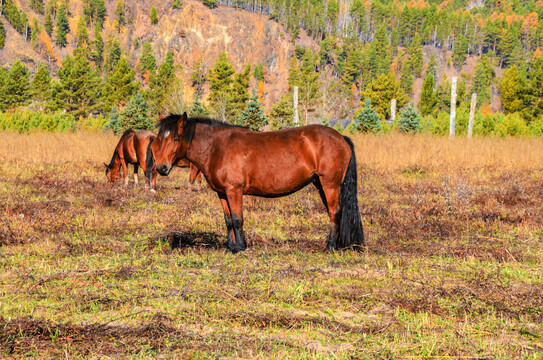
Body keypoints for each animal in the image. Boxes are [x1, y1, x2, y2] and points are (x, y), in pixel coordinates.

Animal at [152, 112, 366, 253]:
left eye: (176, 138)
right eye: (160, 139)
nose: (161, 167)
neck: (217, 148)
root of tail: (341, 137)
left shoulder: (234, 191)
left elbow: (237, 219)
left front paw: (240, 248)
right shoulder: (222, 193)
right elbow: (228, 221)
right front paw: (230, 248)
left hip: (330, 184)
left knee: (335, 212)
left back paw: (330, 247)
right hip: (320, 185)